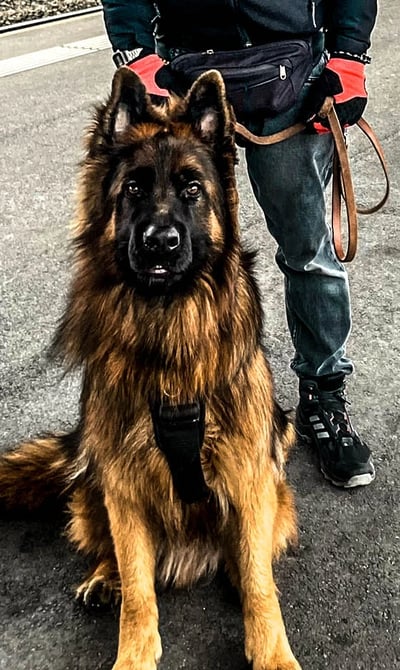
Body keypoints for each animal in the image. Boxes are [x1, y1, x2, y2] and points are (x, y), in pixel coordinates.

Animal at [0, 68, 302, 670]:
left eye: (192, 189)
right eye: (134, 189)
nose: (160, 242)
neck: (169, 330)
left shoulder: (249, 473)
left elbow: (262, 585)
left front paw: (273, 653)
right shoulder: (124, 481)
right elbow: (139, 586)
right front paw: (132, 654)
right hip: (94, 481)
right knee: (113, 551)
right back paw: (104, 578)